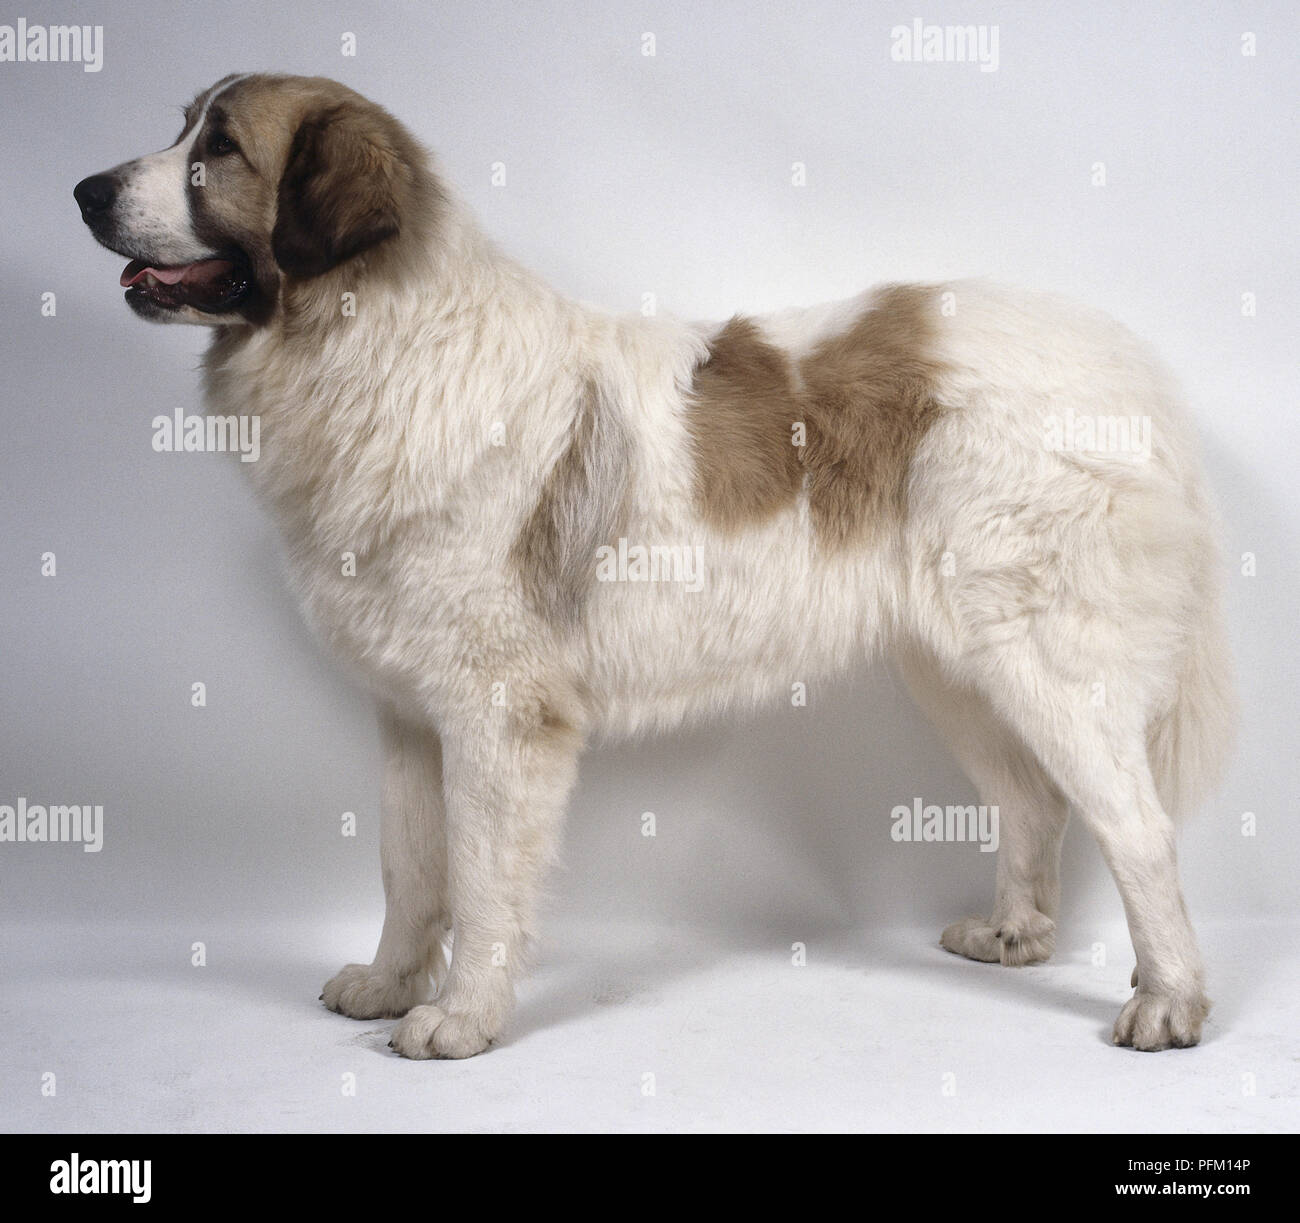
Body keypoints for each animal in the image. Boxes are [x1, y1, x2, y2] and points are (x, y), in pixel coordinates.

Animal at [76, 71, 1232, 1055]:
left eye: (219, 149)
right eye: (183, 128)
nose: (85, 189)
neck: (372, 339)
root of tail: (1135, 371)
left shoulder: (497, 714)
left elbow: (481, 877)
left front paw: (460, 1016)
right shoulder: (408, 711)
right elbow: (409, 863)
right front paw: (391, 981)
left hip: (1046, 664)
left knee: (1137, 827)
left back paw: (1169, 1000)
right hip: (955, 669)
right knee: (1033, 801)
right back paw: (1014, 935)